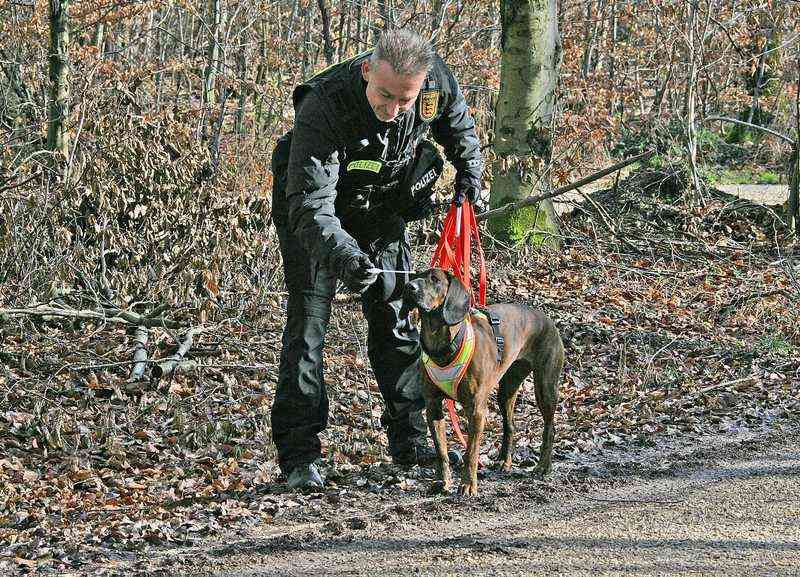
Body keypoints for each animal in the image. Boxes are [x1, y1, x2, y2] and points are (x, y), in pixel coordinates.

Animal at [400, 268, 564, 492]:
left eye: (434, 279)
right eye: (415, 275)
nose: (409, 287)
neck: (442, 348)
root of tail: (546, 318)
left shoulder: (476, 409)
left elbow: (471, 451)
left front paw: (468, 485)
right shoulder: (433, 407)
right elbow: (441, 450)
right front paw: (443, 481)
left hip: (545, 386)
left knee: (550, 426)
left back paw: (543, 466)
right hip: (506, 389)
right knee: (510, 425)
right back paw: (504, 460)